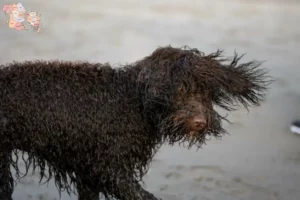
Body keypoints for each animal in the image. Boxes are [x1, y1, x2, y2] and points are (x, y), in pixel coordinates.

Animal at [0, 46, 272, 199]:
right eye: (180, 90)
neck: (133, 102)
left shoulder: (89, 173)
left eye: (206, 92)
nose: (200, 122)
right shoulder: (111, 170)